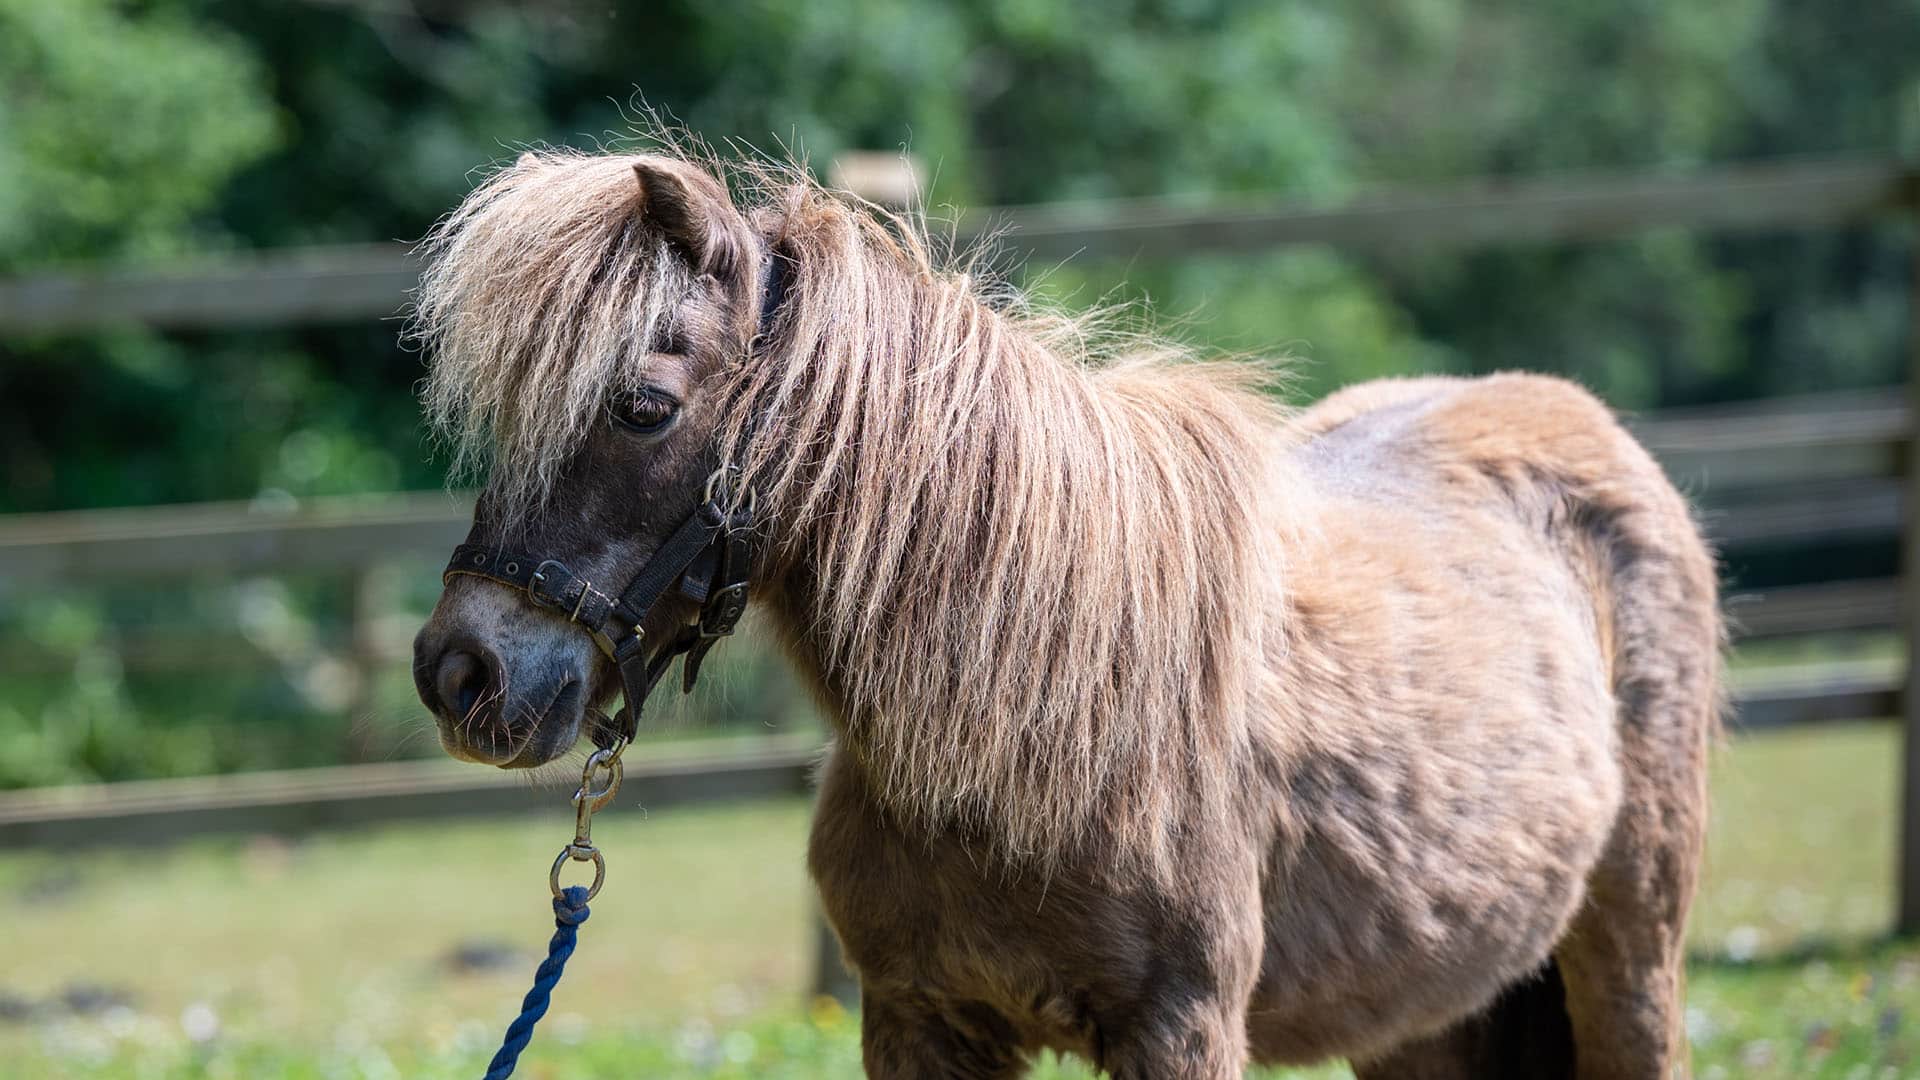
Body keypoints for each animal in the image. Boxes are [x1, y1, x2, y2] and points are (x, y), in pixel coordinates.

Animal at [409, 143, 1719, 1079]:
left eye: (642, 406)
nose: (460, 674)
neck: (1041, 723)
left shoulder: (1180, 1032)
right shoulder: (919, 1021)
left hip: (1631, 961)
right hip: (1426, 1016)